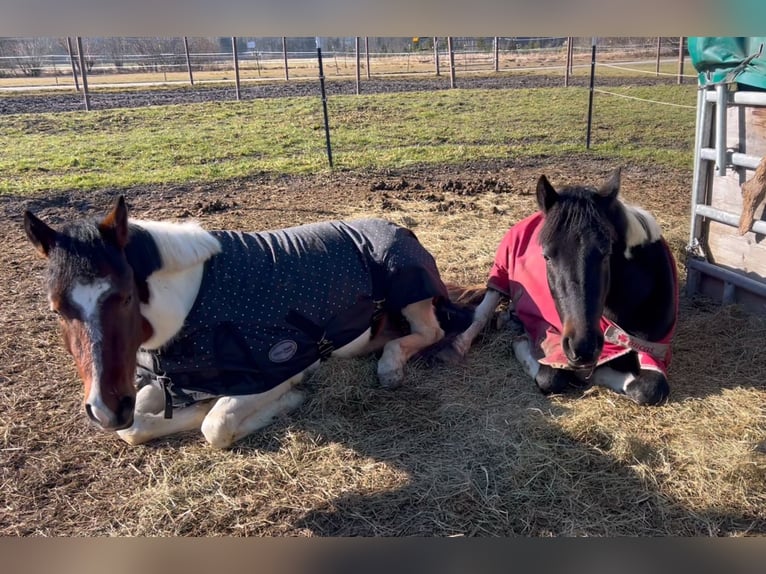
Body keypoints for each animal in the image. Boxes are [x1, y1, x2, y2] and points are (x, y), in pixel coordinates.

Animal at [24, 198, 476, 450]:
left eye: (124, 296)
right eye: (57, 309)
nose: (105, 410)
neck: (194, 303)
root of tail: (397, 226)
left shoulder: (278, 369)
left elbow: (214, 425)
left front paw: (287, 403)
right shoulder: (167, 382)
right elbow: (136, 427)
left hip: (409, 289)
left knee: (431, 332)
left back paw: (390, 366)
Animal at [452, 169, 680, 408]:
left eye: (606, 252)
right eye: (546, 256)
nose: (583, 347)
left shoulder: (655, 351)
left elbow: (650, 388)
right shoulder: (547, 332)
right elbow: (551, 377)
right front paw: (524, 344)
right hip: (500, 273)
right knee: (483, 311)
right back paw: (463, 342)